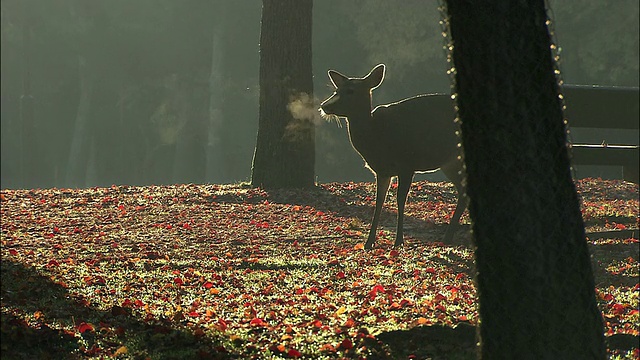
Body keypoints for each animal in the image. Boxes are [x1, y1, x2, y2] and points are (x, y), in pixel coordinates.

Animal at [318, 64, 464, 250]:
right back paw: (447, 237)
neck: (378, 139)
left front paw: (399, 240)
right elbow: (379, 201)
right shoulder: (381, 171)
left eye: (351, 91)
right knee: (463, 192)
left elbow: (400, 200)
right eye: (336, 90)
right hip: (450, 163)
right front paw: (369, 242)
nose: (324, 105)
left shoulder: (407, 164)